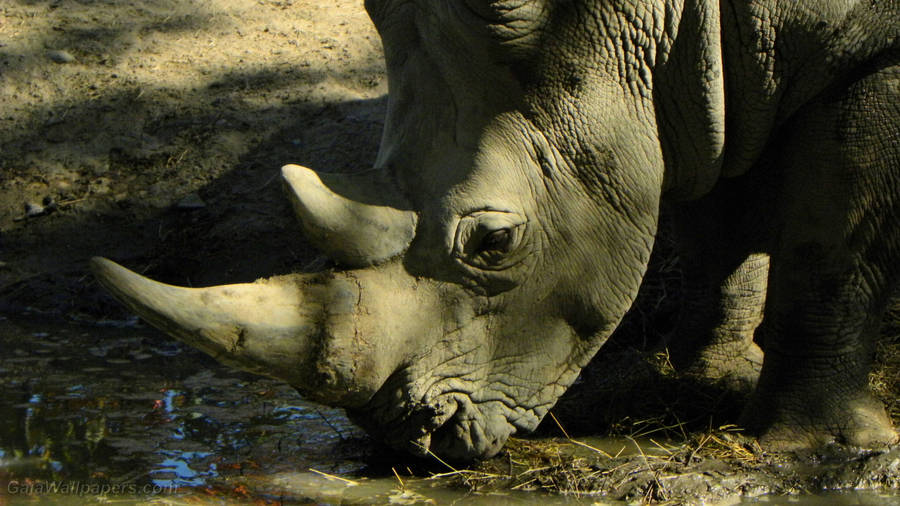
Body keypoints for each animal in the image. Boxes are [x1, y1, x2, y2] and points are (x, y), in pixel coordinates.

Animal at [93, 0, 899, 461]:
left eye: (495, 244)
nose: (415, 437)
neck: (652, 14)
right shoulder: (699, 78)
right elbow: (716, 213)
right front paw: (711, 366)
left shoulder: (872, 50)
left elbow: (832, 244)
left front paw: (814, 447)